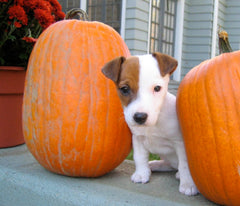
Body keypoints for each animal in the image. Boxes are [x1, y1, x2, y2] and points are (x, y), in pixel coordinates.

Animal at [101, 52, 197, 196]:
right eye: (124, 89)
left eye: (157, 88)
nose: (140, 117)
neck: (154, 124)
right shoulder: (138, 138)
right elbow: (139, 157)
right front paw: (142, 174)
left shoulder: (180, 143)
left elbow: (185, 164)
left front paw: (188, 183)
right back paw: (154, 164)